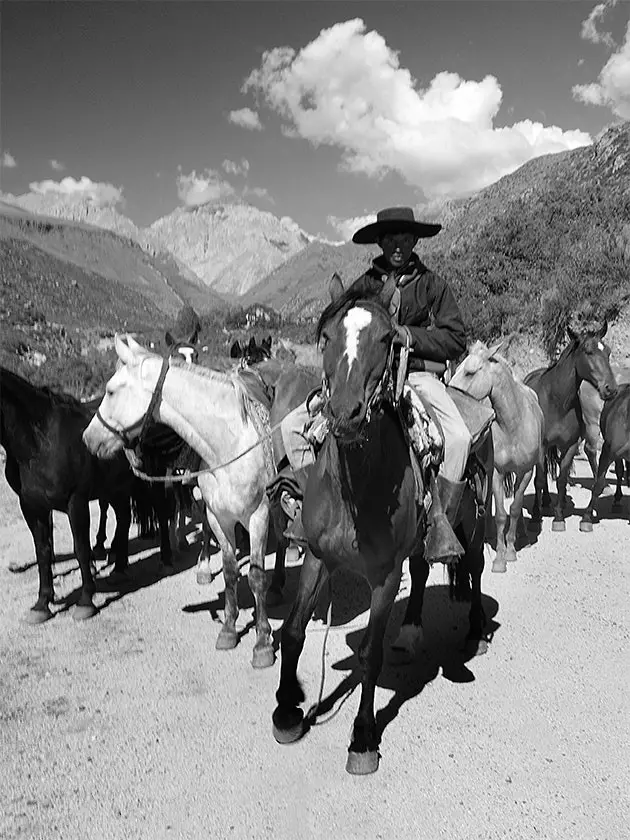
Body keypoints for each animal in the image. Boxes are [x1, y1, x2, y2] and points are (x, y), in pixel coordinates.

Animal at [82, 334, 276, 668]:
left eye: (111, 390)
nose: (88, 438)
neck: (231, 443)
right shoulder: (218, 516)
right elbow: (229, 572)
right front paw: (228, 628)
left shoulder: (259, 515)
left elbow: (256, 576)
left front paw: (262, 641)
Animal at [272, 282, 494, 776]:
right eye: (326, 335)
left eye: (390, 339)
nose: (345, 414)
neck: (355, 490)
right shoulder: (317, 556)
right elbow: (293, 630)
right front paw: (287, 708)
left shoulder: (384, 575)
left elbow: (370, 653)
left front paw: (363, 737)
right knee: (424, 569)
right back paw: (410, 632)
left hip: (471, 521)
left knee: (472, 566)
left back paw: (474, 631)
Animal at [452, 340, 544, 572]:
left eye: (470, 372)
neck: (513, 424)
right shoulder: (497, 473)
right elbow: (502, 514)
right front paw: (501, 557)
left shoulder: (525, 472)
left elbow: (515, 508)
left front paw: (511, 549)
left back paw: (521, 533)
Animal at [524, 322, 620, 532]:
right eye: (588, 351)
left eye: (608, 352)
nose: (611, 389)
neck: (557, 401)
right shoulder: (542, 446)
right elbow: (539, 479)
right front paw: (535, 517)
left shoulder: (570, 445)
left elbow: (561, 479)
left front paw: (559, 517)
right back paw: (543, 503)